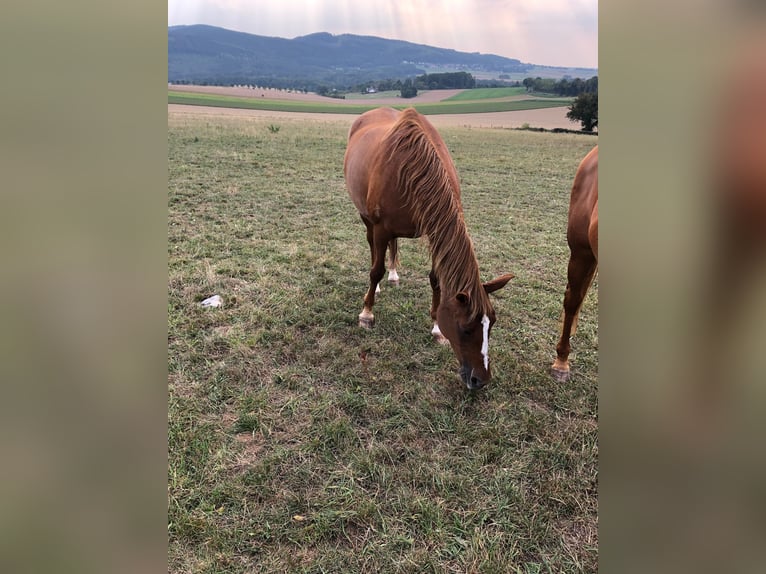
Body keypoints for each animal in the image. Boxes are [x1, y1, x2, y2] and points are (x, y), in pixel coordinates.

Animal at [344, 107, 512, 392]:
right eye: (466, 328)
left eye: (492, 323)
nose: (481, 380)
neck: (411, 168)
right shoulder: (380, 228)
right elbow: (375, 270)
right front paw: (366, 314)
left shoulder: (435, 231)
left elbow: (436, 280)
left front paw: (435, 327)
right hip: (367, 219)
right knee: (372, 250)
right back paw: (375, 289)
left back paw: (394, 274)